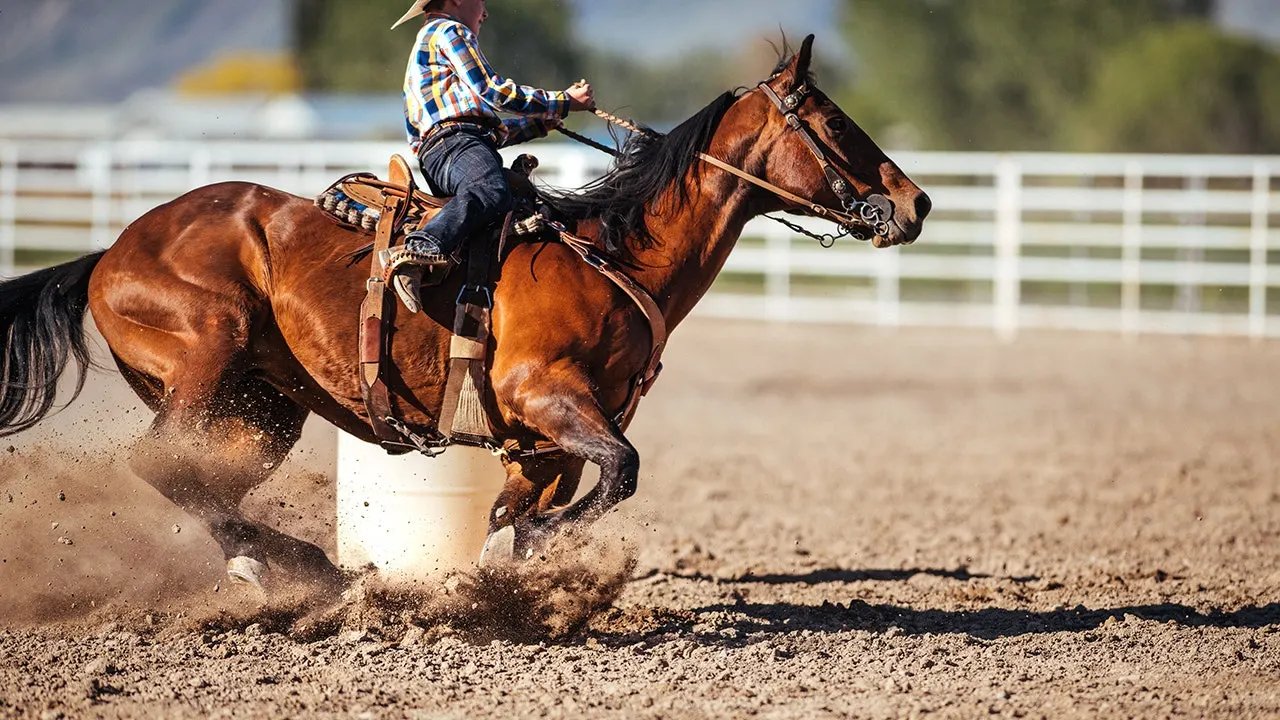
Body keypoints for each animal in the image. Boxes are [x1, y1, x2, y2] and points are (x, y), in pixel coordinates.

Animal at [0, 36, 929, 589]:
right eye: (834, 121)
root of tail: (109, 254)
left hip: (259, 411)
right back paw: (304, 570)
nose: (914, 203)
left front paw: (501, 571)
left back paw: (296, 574)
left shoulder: (545, 440)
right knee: (158, 468)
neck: (611, 255)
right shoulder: (542, 396)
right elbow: (616, 475)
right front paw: (526, 555)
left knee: (201, 483)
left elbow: (523, 506)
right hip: (206, 361)